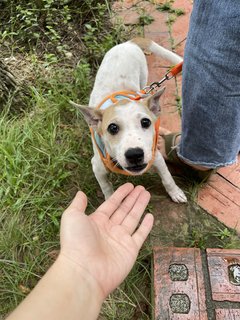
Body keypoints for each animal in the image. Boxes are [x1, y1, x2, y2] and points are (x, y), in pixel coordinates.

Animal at [70, 38, 187, 202]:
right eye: (112, 128)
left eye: (146, 122)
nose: (134, 154)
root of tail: (129, 43)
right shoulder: (97, 167)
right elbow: (106, 188)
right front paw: (110, 200)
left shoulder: (156, 157)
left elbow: (167, 178)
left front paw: (175, 192)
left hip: (143, 73)